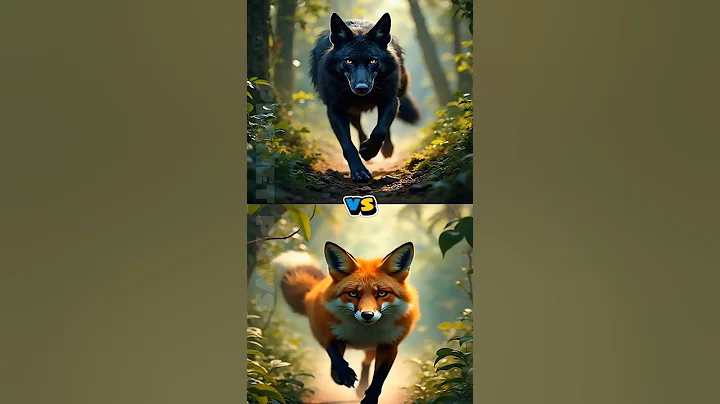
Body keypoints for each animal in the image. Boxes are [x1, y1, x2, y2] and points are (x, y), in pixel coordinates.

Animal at [275, 241, 420, 404]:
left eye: (382, 293)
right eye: (353, 293)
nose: (367, 315)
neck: (362, 332)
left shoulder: (390, 345)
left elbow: (379, 378)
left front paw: (370, 398)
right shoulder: (328, 333)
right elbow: (335, 358)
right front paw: (345, 375)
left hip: (373, 348)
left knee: (365, 362)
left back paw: (361, 388)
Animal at [309, 13, 421, 182]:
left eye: (372, 61)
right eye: (349, 61)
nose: (361, 88)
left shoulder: (390, 100)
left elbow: (380, 131)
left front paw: (369, 152)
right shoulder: (335, 110)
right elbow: (348, 146)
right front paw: (359, 170)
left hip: (397, 96)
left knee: (385, 127)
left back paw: (385, 149)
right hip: (352, 113)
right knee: (359, 129)